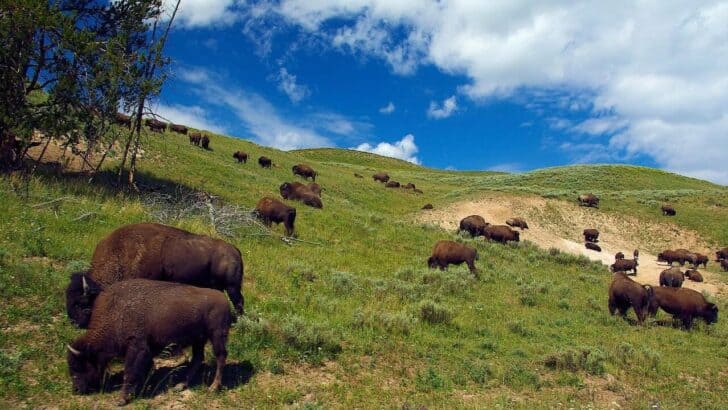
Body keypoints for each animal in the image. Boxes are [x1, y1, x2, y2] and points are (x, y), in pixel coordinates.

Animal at [65, 223, 244, 328]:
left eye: (81, 304)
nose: (74, 323)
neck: (123, 253)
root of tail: (235, 250)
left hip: (232, 287)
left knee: (239, 301)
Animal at [67, 279, 232, 405]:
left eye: (79, 365)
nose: (76, 389)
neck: (115, 312)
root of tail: (224, 299)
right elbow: (143, 370)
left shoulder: (136, 348)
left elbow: (129, 373)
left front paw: (121, 399)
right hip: (198, 339)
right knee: (198, 358)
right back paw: (180, 385)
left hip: (216, 335)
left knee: (220, 357)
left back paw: (213, 387)